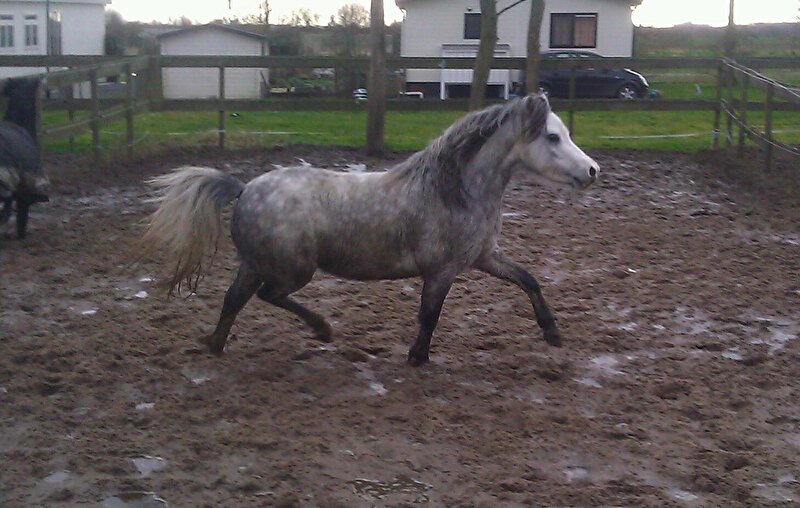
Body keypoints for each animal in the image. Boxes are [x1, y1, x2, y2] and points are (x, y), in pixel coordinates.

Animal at [141, 95, 596, 366]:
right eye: (552, 137)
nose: (592, 170)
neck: (455, 190)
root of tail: (244, 188)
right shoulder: (442, 270)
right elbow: (430, 315)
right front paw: (417, 359)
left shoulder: (483, 256)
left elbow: (528, 279)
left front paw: (552, 333)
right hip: (293, 268)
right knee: (268, 295)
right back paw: (321, 329)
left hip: (255, 263)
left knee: (235, 299)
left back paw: (216, 345)